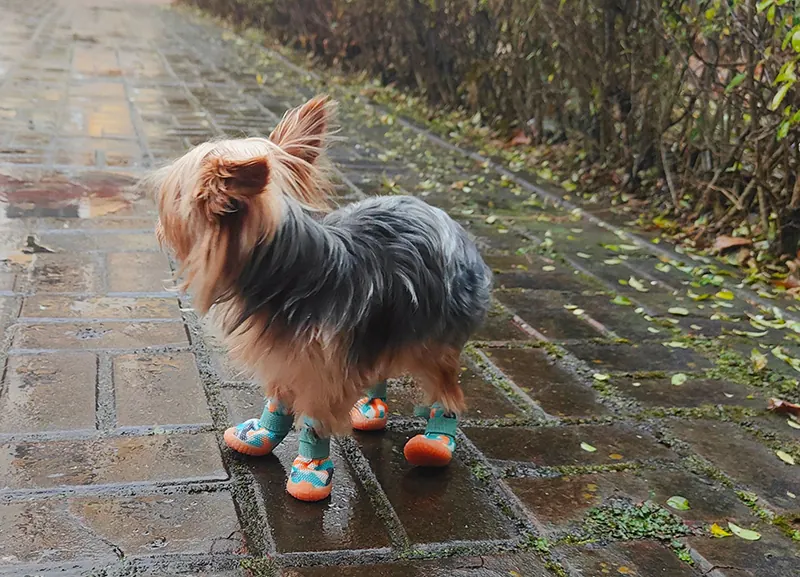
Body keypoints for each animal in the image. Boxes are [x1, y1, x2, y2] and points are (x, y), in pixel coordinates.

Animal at [147, 95, 490, 500]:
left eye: (171, 201)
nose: (158, 227)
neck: (287, 272)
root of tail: (444, 217)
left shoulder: (322, 373)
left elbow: (313, 421)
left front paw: (309, 474)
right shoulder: (286, 358)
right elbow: (278, 401)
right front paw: (260, 435)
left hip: (434, 335)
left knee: (445, 390)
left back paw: (435, 442)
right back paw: (370, 409)